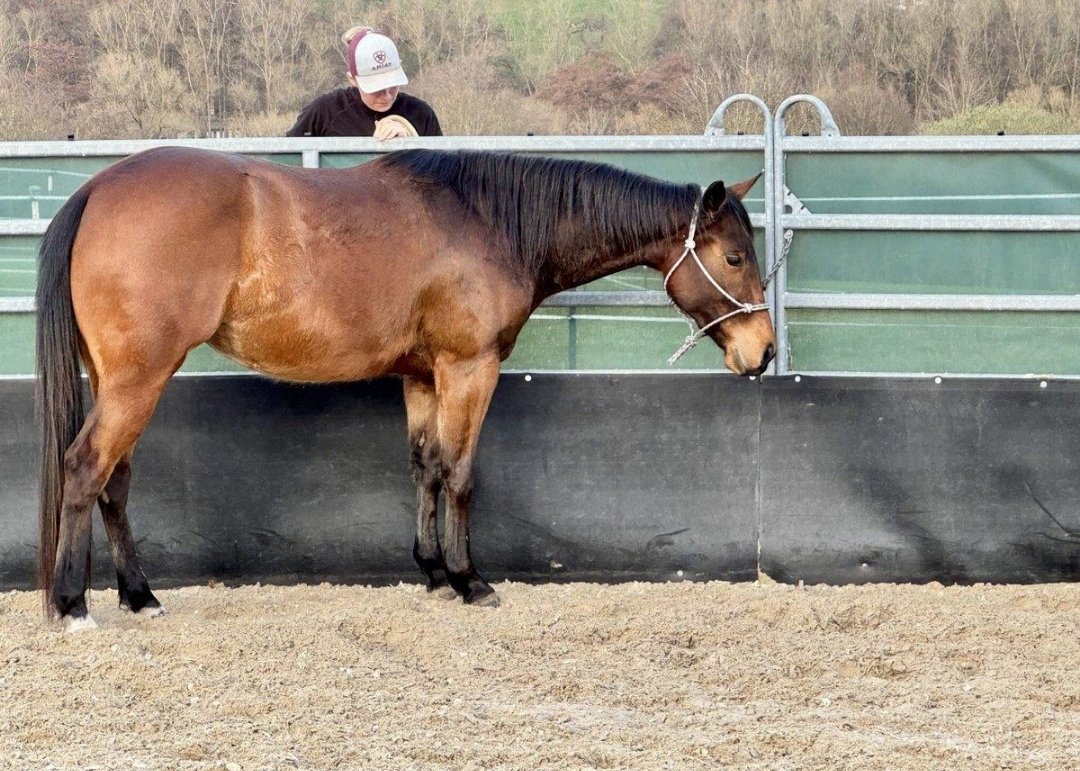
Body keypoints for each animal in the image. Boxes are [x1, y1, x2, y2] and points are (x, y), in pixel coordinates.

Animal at [35, 146, 775, 631]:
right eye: (735, 256)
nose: (764, 351)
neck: (489, 220)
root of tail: (99, 189)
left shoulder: (423, 377)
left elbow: (426, 467)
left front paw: (432, 571)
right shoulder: (469, 368)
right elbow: (462, 473)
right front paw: (470, 579)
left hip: (120, 380)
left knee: (115, 482)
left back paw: (139, 595)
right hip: (138, 381)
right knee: (84, 468)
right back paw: (72, 604)